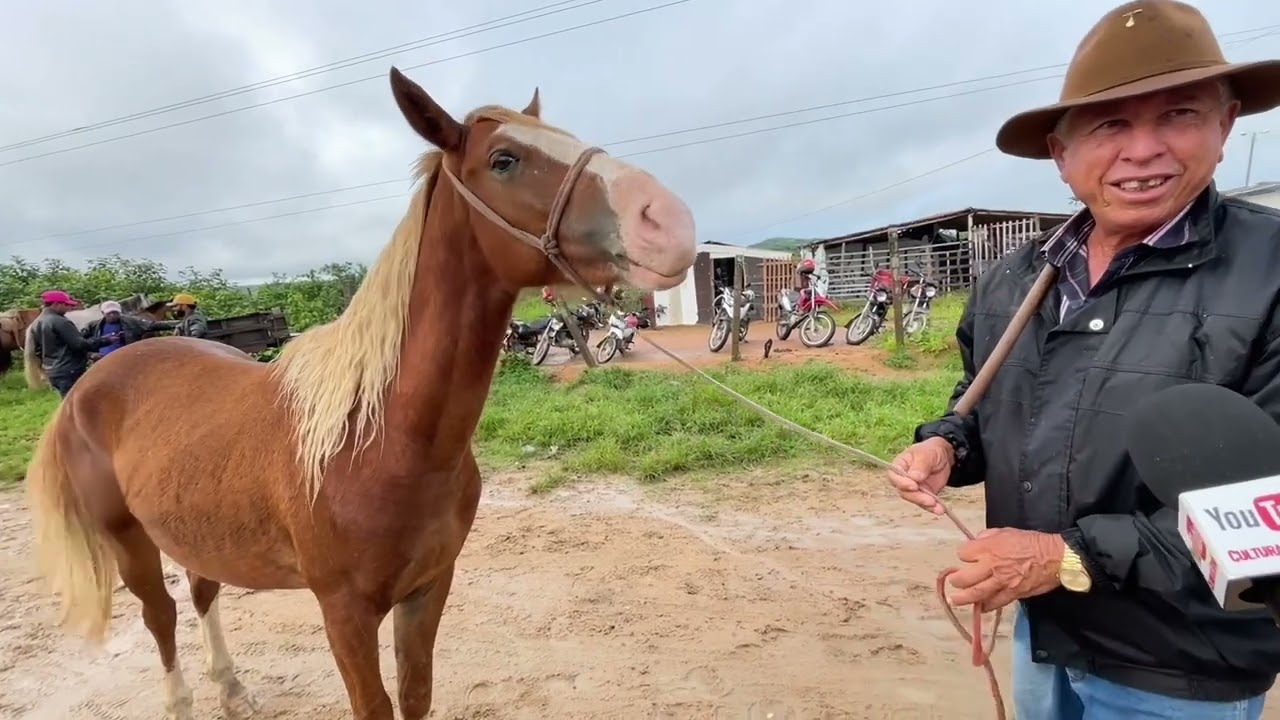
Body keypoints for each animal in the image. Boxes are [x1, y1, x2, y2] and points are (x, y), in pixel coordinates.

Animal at [24, 65, 696, 720]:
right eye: (504, 158)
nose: (668, 221)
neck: (380, 438)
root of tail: (90, 384)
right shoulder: (344, 613)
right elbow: (373, 704)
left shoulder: (428, 589)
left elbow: (416, 695)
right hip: (127, 536)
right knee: (159, 615)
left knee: (201, 590)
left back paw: (233, 691)